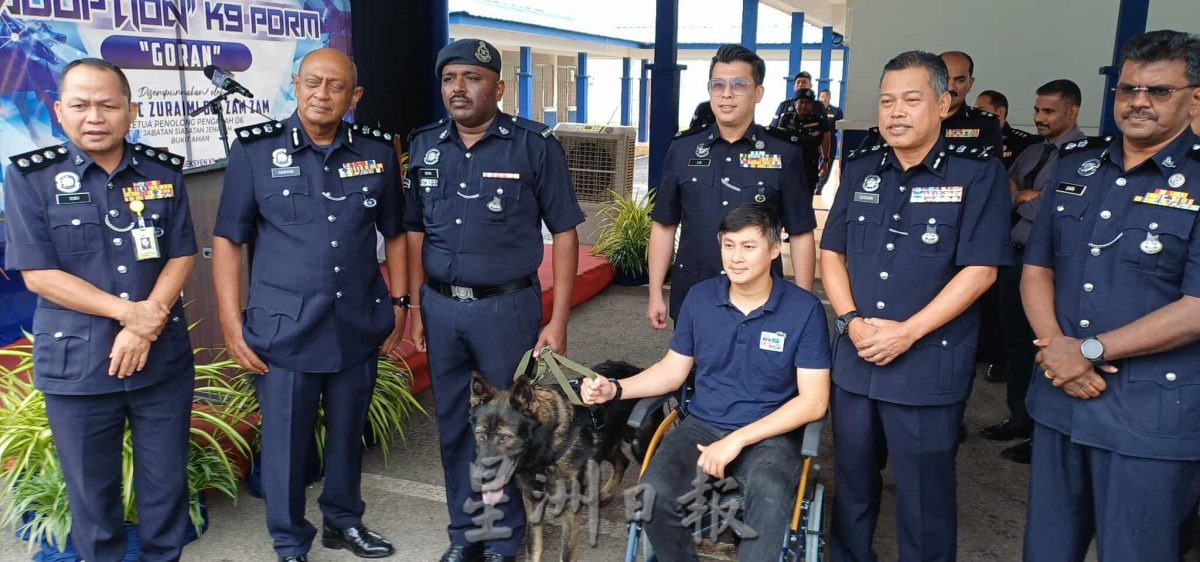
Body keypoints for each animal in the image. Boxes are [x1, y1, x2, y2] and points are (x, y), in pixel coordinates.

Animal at [469, 360, 660, 562]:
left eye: (505, 437)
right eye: (480, 434)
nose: (479, 478)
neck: (546, 443)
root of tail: (637, 369)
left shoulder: (570, 504)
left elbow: (566, 551)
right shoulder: (532, 499)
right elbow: (533, 546)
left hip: (640, 446)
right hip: (605, 445)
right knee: (622, 460)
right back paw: (606, 494)